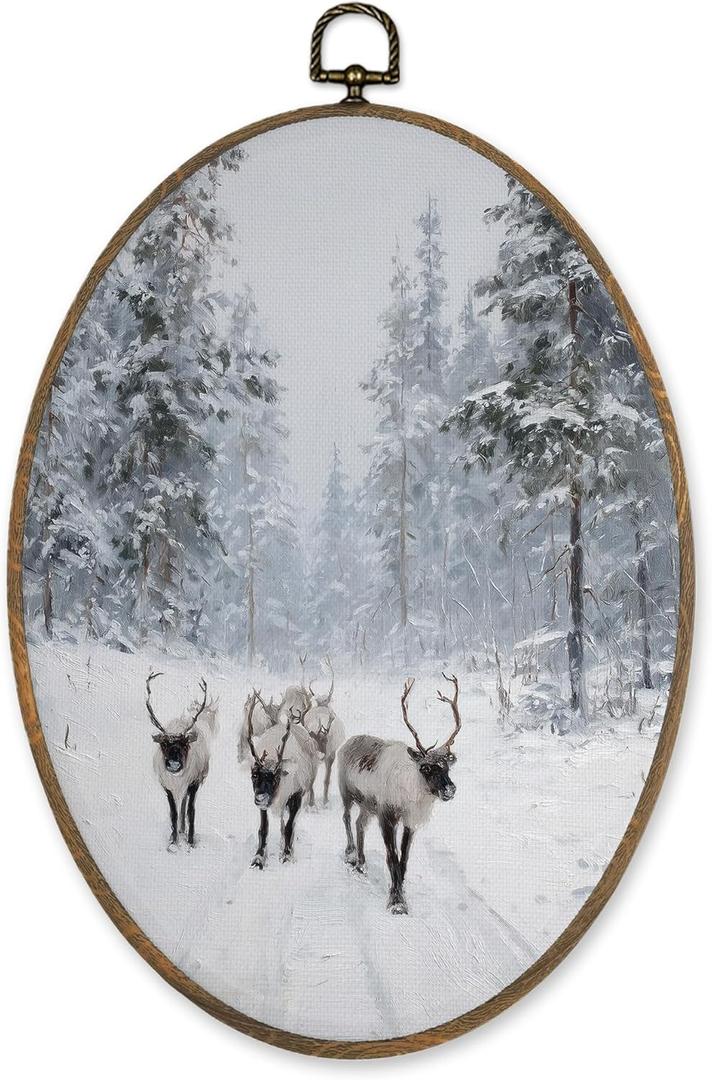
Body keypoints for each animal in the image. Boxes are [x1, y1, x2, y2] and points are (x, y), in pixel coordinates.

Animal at [146, 671, 216, 848]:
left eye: (185, 744)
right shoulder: (167, 787)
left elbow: (191, 811)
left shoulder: (194, 783)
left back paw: (184, 830)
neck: (177, 779)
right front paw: (173, 841)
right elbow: (173, 813)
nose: (173, 764)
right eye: (164, 743)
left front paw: (190, 842)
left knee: (185, 804)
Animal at [244, 692, 317, 868]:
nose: (261, 798)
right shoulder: (264, 805)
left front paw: (287, 855)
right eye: (254, 774)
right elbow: (263, 828)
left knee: (290, 822)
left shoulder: (296, 794)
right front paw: (258, 858)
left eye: (275, 778)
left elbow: (290, 826)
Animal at [338, 673, 462, 915]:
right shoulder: (387, 817)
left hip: (368, 805)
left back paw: (361, 863)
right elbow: (391, 858)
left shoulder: (409, 822)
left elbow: (404, 859)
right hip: (346, 792)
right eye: (426, 768)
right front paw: (396, 901)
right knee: (346, 817)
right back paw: (350, 854)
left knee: (359, 823)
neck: (410, 793)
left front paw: (400, 893)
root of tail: (348, 741)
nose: (449, 790)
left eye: (446, 767)